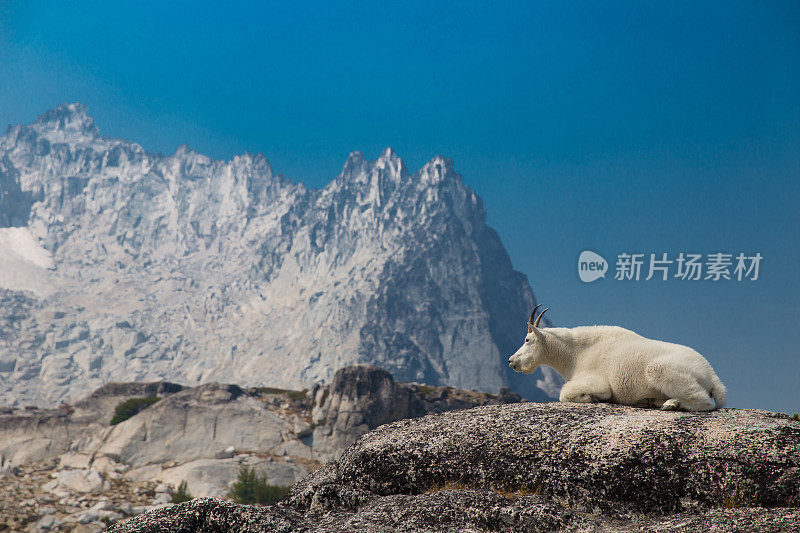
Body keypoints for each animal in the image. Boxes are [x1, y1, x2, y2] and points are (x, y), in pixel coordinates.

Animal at [510, 304, 728, 412]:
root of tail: (712, 375)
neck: (574, 354)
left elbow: (565, 394)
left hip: (659, 370)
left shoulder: (597, 382)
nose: (512, 361)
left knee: (705, 402)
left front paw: (593, 398)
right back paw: (654, 401)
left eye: (527, 339)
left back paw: (672, 405)